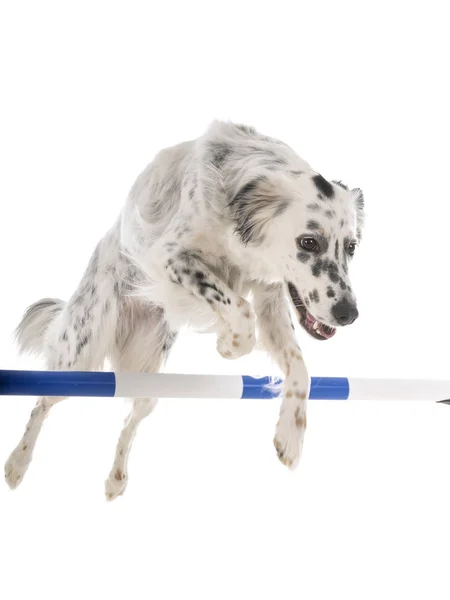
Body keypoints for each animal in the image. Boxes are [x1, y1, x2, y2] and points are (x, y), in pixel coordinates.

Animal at [6, 119, 366, 500]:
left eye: (352, 247)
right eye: (308, 242)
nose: (348, 314)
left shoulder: (269, 297)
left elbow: (299, 369)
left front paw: (290, 438)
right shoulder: (171, 257)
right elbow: (240, 313)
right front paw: (227, 344)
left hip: (148, 376)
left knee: (131, 418)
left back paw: (116, 478)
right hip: (79, 355)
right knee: (42, 402)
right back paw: (17, 463)